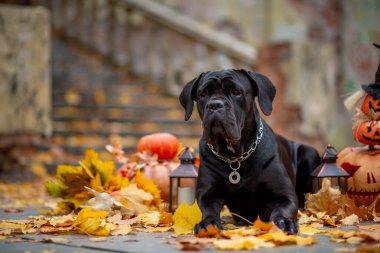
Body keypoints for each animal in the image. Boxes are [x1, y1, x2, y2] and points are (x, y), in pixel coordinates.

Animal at [179, 68, 320, 233]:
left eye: (235, 91)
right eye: (203, 94)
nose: (214, 105)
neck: (236, 157)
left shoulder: (284, 195)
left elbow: (283, 209)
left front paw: (284, 222)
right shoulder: (207, 194)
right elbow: (208, 210)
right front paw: (208, 223)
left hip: (309, 153)